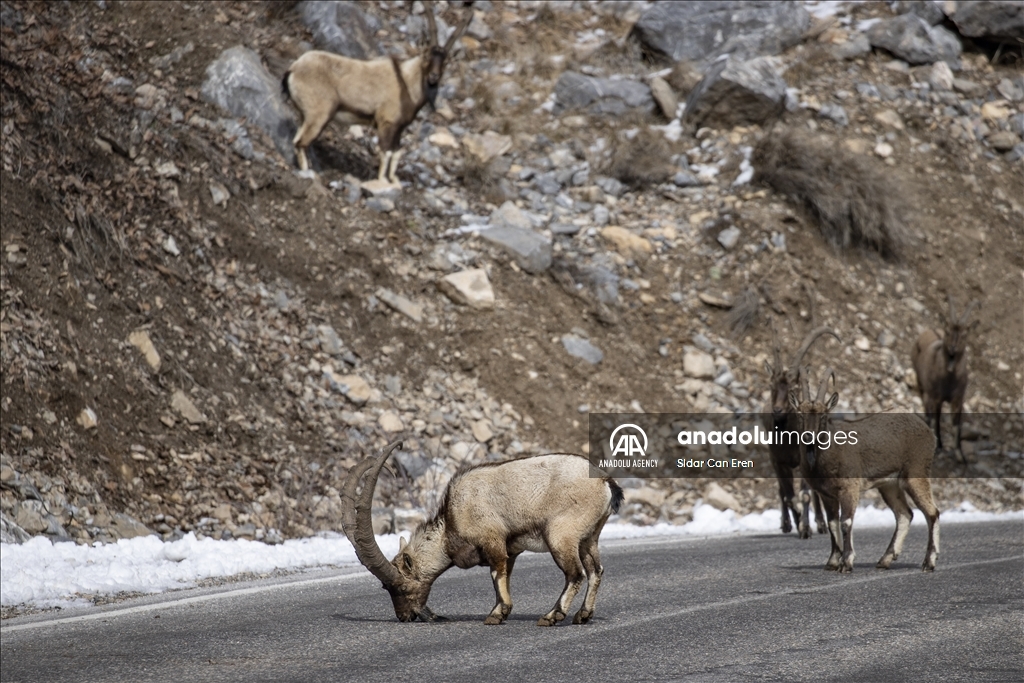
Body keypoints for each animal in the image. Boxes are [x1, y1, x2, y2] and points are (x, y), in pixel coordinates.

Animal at [342, 444, 622, 626]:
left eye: (398, 586)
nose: (404, 617)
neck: (451, 522)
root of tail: (606, 482)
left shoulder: (492, 540)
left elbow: (496, 574)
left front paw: (497, 614)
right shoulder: (511, 550)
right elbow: (505, 575)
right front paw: (501, 611)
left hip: (561, 535)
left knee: (575, 574)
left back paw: (552, 616)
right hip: (589, 537)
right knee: (596, 571)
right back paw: (583, 615)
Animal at [761, 321, 839, 540]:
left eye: (793, 387)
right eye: (771, 385)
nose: (777, 410)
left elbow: (804, 494)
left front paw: (805, 528)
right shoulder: (777, 461)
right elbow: (788, 496)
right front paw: (796, 521)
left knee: (814, 491)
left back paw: (819, 523)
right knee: (783, 492)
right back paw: (788, 523)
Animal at [790, 368, 942, 573]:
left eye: (823, 415)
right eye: (800, 414)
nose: (809, 436)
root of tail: (927, 430)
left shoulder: (849, 488)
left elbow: (845, 522)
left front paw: (846, 562)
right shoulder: (826, 494)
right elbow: (832, 523)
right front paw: (832, 561)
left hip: (916, 473)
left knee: (932, 513)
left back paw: (929, 562)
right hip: (889, 485)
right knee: (904, 514)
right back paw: (885, 559)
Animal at [917, 294, 978, 458]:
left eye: (964, 335)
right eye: (947, 331)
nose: (953, 348)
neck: (950, 380)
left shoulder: (958, 399)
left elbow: (957, 425)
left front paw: (960, 455)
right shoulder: (937, 398)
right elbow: (937, 419)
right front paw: (939, 446)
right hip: (922, 386)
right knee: (927, 410)